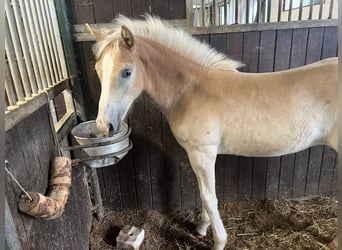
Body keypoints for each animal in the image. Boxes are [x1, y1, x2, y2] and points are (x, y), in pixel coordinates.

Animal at [85, 14, 336, 249]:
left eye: (127, 72)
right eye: (97, 69)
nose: (104, 126)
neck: (190, 91)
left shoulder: (202, 153)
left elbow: (208, 197)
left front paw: (218, 241)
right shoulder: (200, 155)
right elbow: (203, 193)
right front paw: (202, 228)